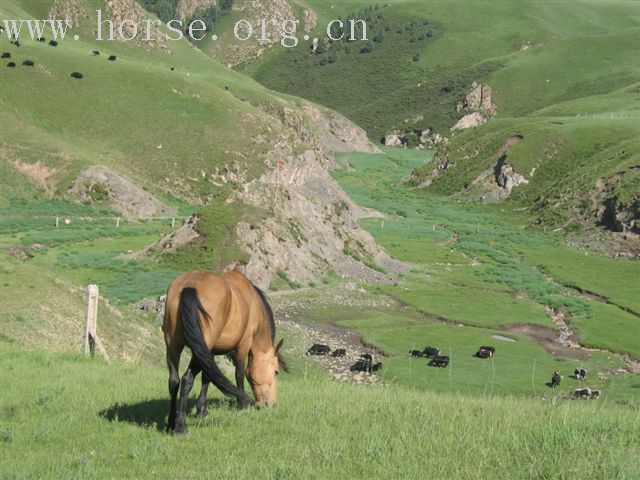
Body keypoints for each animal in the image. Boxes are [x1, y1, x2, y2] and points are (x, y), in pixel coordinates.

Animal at [162, 270, 288, 436]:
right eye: (276, 371)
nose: (271, 404)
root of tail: (189, 287)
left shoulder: (210, 352)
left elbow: (207, 377)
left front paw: (202, 410)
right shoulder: (243, 345)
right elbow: (239, 374)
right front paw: (242, 404)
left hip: (173, 346)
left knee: (174, 381)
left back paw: (171, 422)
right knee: (186, 380)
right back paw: (181, 426)